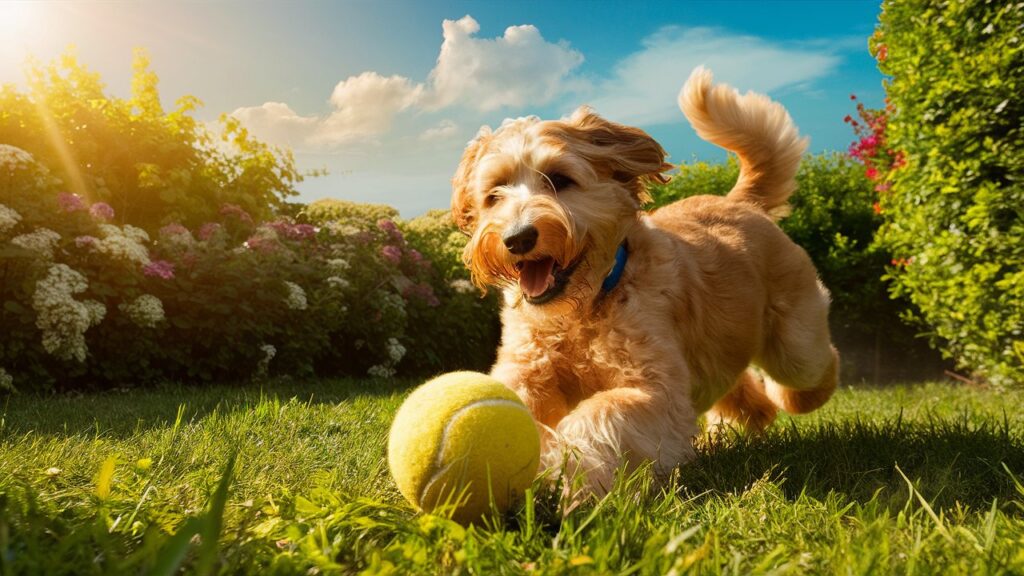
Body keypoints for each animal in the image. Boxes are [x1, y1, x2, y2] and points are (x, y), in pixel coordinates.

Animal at [450, 65, 839, 491]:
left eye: (560, 179)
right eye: (494, 194)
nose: (517, 238)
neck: (582, 311)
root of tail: (739, 201)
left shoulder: (654, 390)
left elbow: (599, 415)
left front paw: (563, 473)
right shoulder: (526, 370)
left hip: (795, 345)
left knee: (815, 366)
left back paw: (795, 398)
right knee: (739, 388)